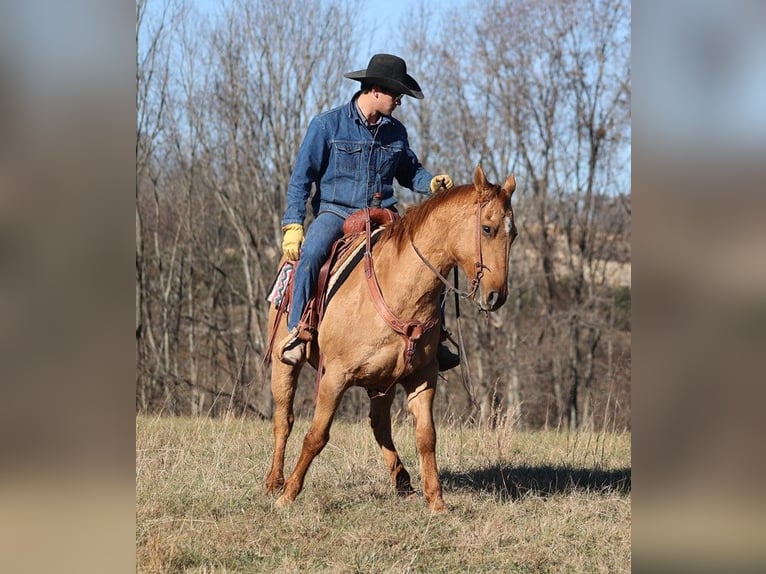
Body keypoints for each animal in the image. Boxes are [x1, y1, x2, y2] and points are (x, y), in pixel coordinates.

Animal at [262, 165, 516, 512]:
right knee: (283, 419)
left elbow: (426, 437)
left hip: (381, 382)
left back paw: (402, 480)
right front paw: (288, 494)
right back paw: (274, 481)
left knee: (378, 423)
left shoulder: (422, 377)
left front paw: (437, 501)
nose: (496, 296)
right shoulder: (335, 376)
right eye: (487, 229)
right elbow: (316, 435)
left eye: (513, 234)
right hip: (284, 364)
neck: (399, 289)